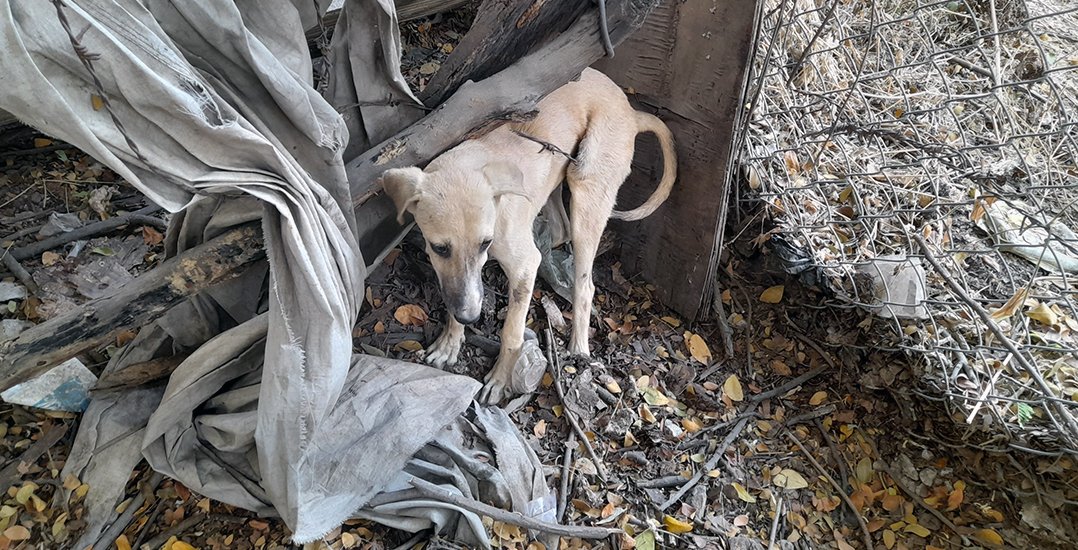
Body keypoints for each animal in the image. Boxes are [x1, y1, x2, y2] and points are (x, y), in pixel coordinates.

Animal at [381, 67, 672, 403]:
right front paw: (451, 342)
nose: (471, 317)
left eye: (485, 243)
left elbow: (512, 330)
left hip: (587, 191)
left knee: (585, 285)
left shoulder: (522, 265)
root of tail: (630, 111)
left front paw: (501, 379)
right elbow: (454, 294)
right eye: (439, 248)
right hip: (558, 177)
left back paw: (578, 347)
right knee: (560, 228)